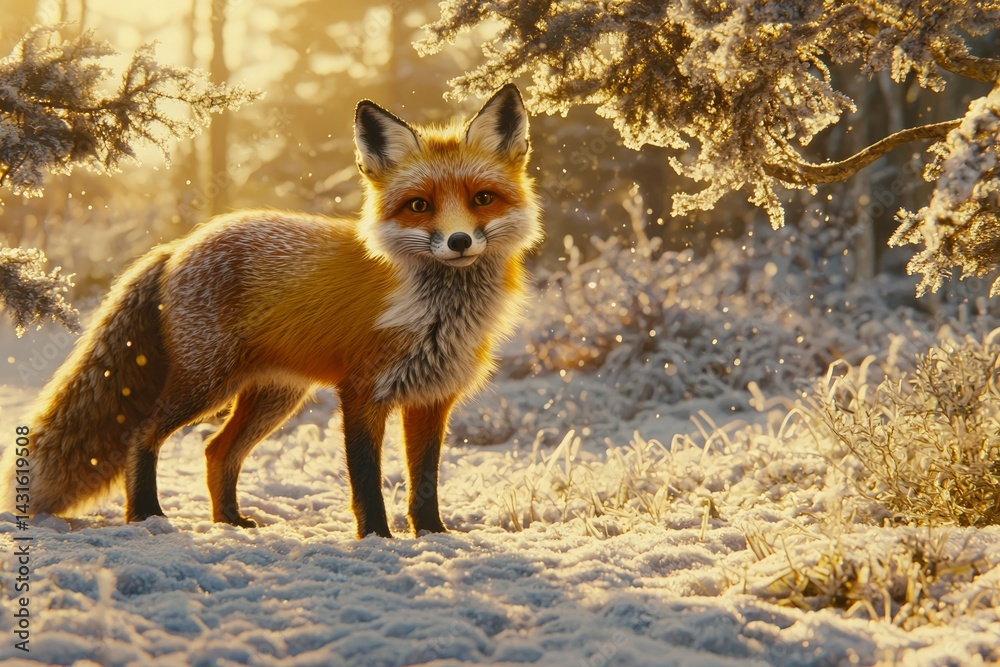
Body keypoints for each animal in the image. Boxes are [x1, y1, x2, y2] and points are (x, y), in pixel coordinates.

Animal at [0, 84, 542, 538]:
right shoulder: (362, 392)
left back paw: (228, 521)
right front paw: (377, 539)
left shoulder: (433, 397)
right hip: (206, 384)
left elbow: (424, 481)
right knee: (141, 434)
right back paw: (147, 516)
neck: (435, 314)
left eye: (483, 199)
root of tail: (178, 246)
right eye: (419, 206)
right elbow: (366, 479)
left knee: (215, 450)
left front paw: (432, 536)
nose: (459, 241)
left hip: (273, 396)